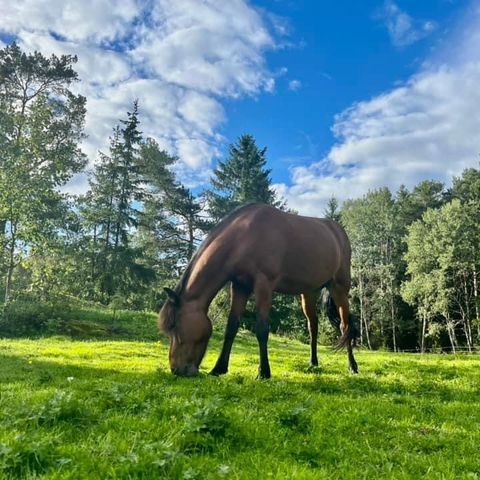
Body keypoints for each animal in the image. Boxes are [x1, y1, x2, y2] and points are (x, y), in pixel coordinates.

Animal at [159, 202, 358, 378]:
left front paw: (264, 372)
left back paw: (352, 366)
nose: (177, 370)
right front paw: (219, 368)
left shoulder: (264, 284)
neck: (243, 236)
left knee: (345, 325)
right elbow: (231, 326)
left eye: (176, 327)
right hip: (309, 292)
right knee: (313, 325)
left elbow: (262, 328)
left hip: (340, 287)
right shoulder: (240, 286)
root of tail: (338, 230)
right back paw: (313, 362)